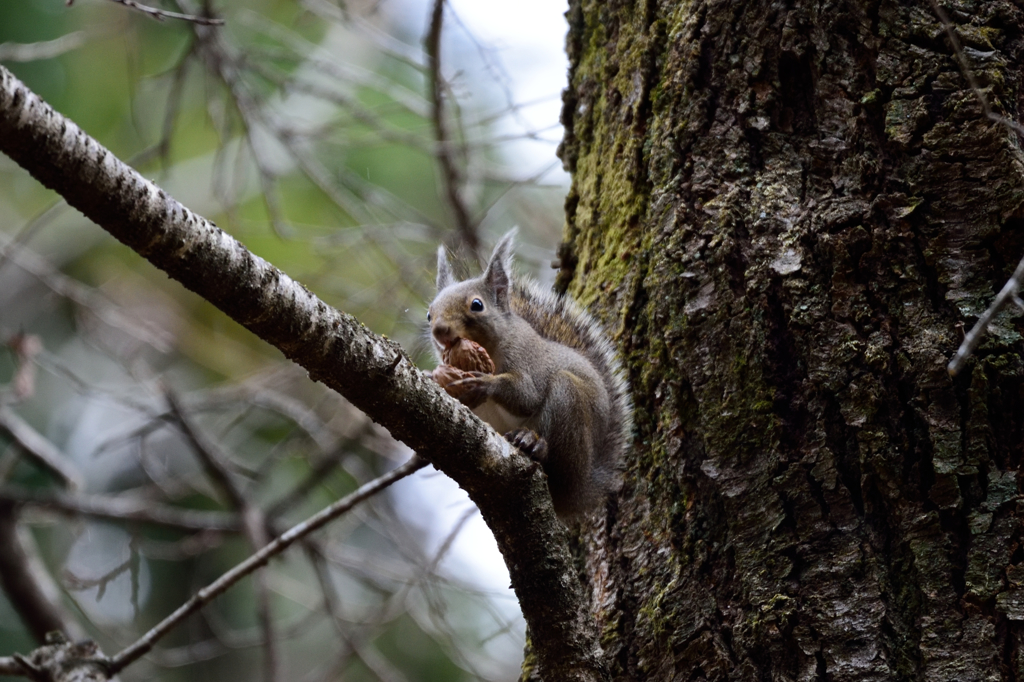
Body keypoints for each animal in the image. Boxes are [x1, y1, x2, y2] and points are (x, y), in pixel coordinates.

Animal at [425, 228, 630, 516]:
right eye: (429, 314)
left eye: (477, 305)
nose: (439, 331)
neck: (492, 349)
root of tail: (582, 490)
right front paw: (433, 377)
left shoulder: (527, 358)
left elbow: (527, 396)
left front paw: (486, 383)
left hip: (568, 406)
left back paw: (534, 444)